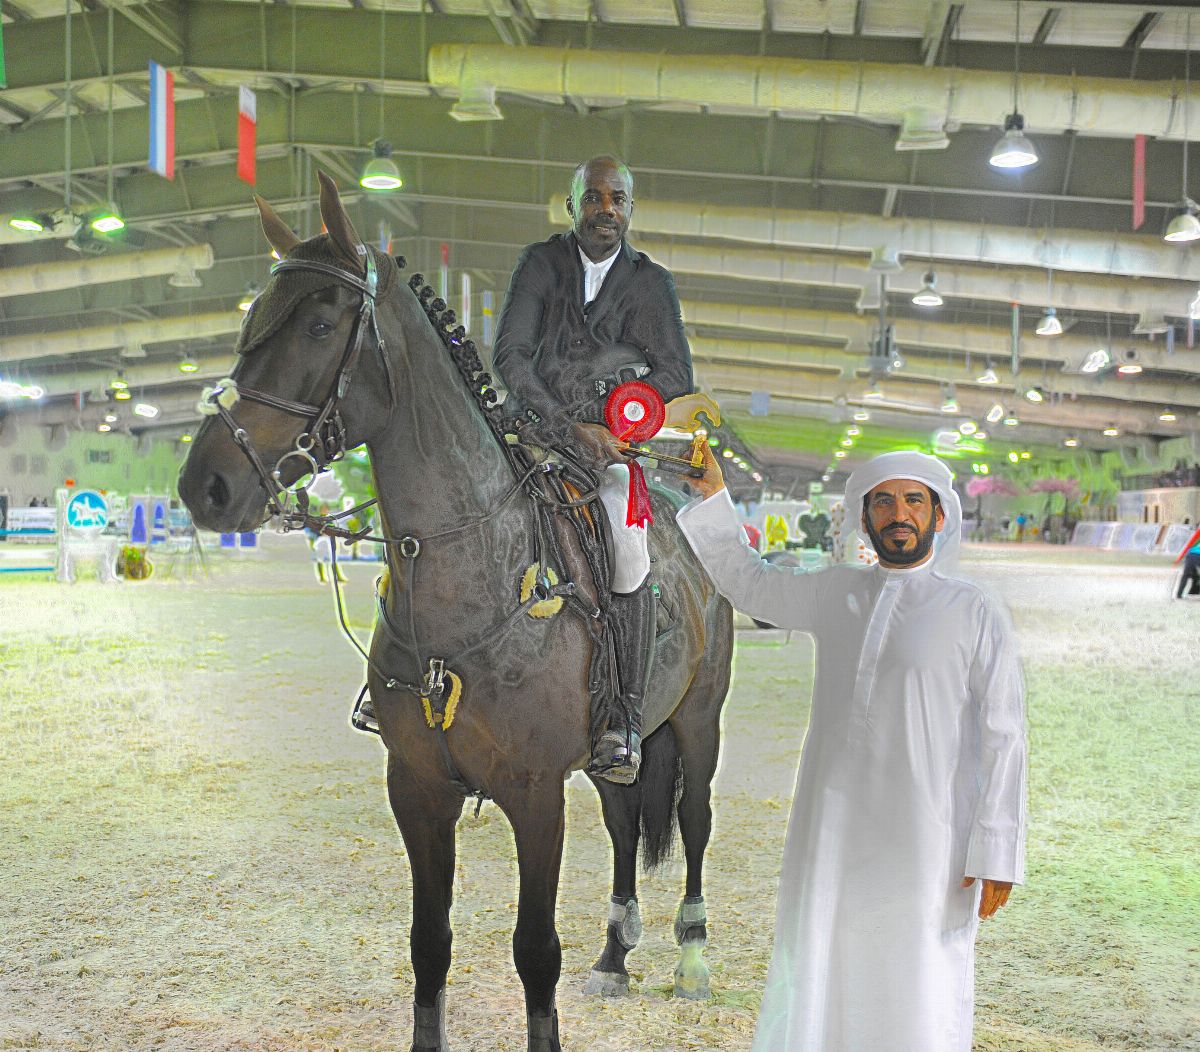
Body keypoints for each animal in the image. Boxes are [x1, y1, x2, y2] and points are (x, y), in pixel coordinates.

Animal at [176, 173, 729, 1050]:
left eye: (321, 325)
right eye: (250, 322)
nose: (207, 485)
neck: (473, 576)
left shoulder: (534, 795)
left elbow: (535, 951)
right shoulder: (417, 788)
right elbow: (428, 944)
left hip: (698, 721)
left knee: (697, 821)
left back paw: (693, 961)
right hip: (622, 745)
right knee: (621, 821)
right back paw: (614, 958)